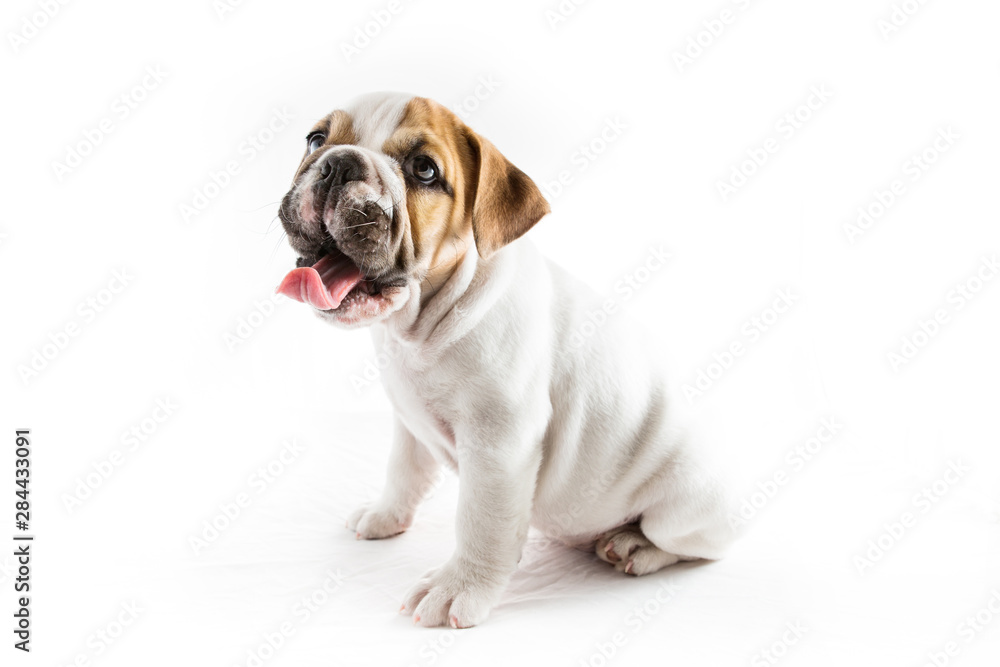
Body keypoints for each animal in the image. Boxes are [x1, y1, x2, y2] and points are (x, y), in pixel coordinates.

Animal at [278, 91, 732, 628]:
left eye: (424, 170)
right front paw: (386, 516)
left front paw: (458, 588)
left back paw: (634, 546)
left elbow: (481, 523)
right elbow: (403, 472)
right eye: (316, 140)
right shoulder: (409, 424)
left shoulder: (499, 447)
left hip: (682, 509)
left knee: (692, 547)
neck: (421, 327)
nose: (338, 164)